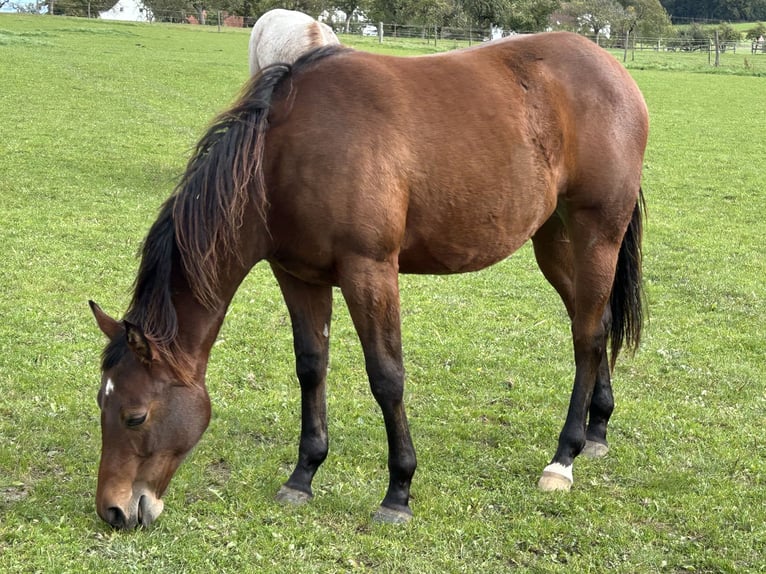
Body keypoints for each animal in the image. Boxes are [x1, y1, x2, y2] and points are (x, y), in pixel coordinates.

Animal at [90, 31, 648, 529]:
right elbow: (311, 367)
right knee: (593, 322)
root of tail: (612, 69)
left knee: (587, 335)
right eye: (102, 402)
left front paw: (398, 492)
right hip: (554, 240)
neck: (285, 155)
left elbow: (386, 377)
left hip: (597, 232)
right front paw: (303, 476)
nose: (114, 511)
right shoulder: (297, 275)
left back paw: (563, 458)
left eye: (135, 416)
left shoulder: (370, 271)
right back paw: (597, 429)